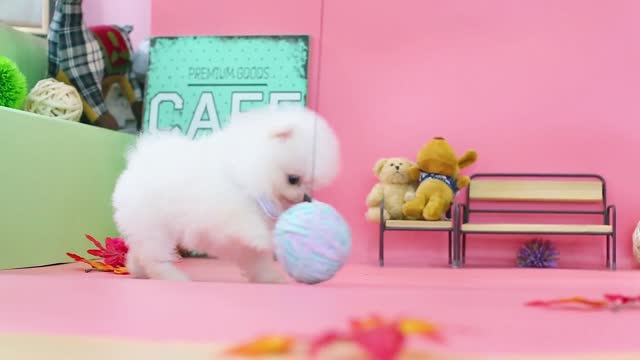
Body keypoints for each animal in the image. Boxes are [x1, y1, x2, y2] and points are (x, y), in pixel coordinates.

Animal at [111, 105, 340, 282]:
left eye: (311, 184)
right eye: (293, 179)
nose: (306, 198)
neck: (248, 173)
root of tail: (138, 160)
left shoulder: (242, 244)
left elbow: (257, 260)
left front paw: (270, 277)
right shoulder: (228, 212)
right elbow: (248, 226)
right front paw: (266, 239)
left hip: (145, 227)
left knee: (140, 252)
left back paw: (137, 270)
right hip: (155, 227)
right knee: (154, 257)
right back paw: (173, 276)